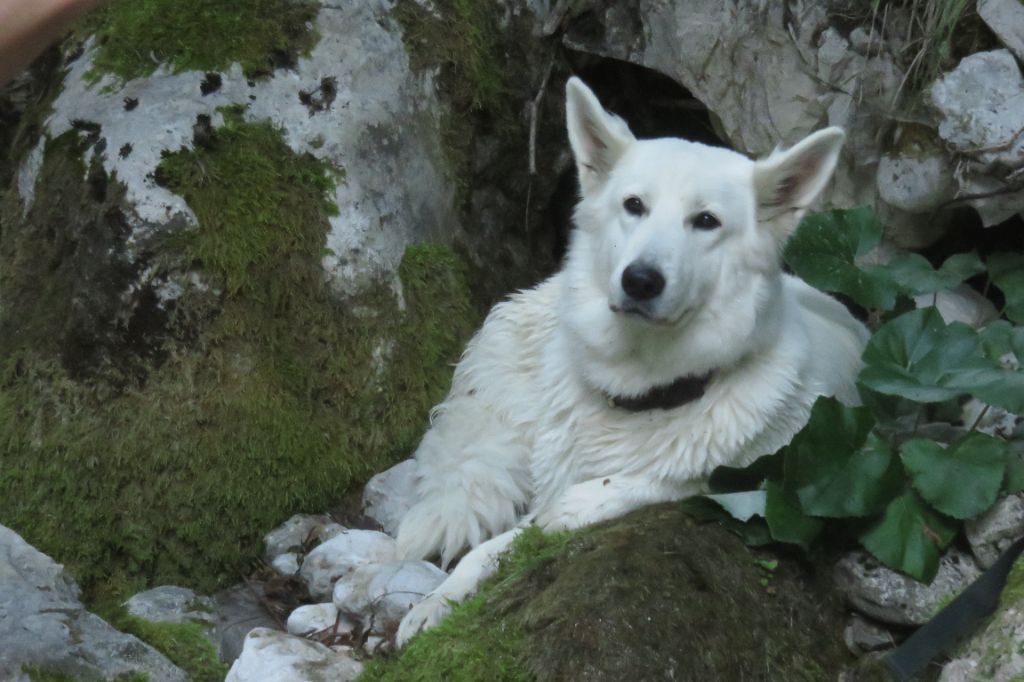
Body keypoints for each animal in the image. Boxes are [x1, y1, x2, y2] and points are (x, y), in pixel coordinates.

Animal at [393, 78, 872, 643]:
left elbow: (670, 480)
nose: (640, 280)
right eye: (634, 205)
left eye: (706, 221)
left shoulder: (773, 485)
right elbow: (487, 552)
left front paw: (586, 501)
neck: (642, 391)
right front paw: (437, 601)